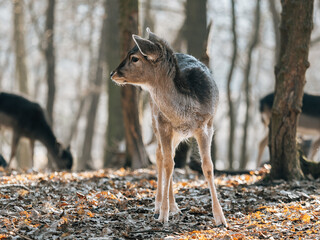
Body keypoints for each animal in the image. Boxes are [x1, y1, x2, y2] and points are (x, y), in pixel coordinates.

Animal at [111, 28, 226, 227]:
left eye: (134, 58)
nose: (113, 73)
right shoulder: (163, 124)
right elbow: (166, 164)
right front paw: (162, 214)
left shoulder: (206, 126)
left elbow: (208, 166)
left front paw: (220, 217)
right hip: (155, 120)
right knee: (161, 157)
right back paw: (160, 205)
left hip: (177, 134)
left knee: (169, 157)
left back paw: (174, 207)